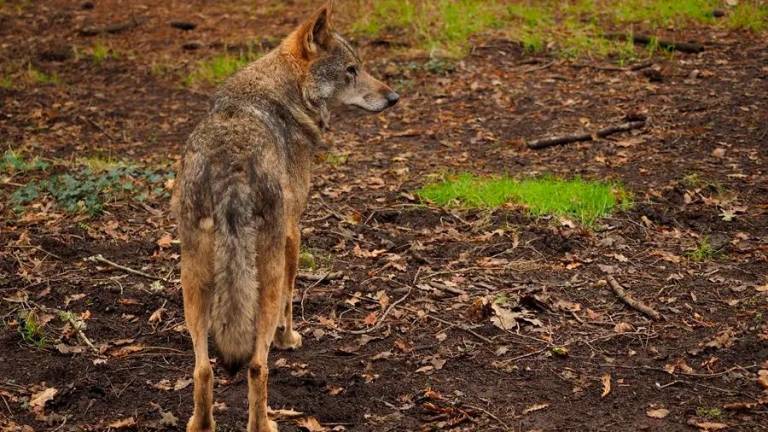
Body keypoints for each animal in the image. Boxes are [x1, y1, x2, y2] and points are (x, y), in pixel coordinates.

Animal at [172, 3, 400, 432]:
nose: (393, 97)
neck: (285, 94)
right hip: (265, 273)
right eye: (351, 70)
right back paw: (264, 423)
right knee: (256, 366)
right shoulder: (293, 234)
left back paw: (201, 423)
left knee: (203, 369)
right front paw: (288, 339)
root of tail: (231, 168)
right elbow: (291, 300)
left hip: (193, 280)